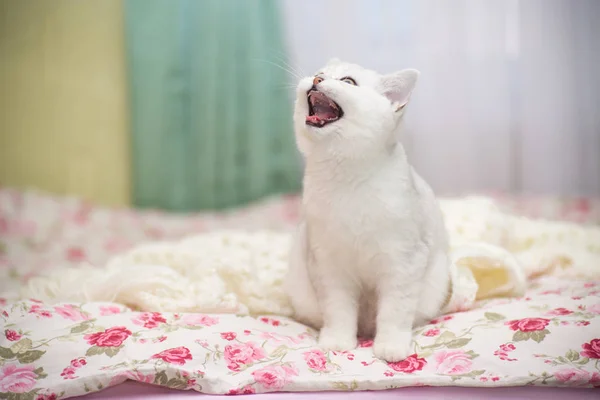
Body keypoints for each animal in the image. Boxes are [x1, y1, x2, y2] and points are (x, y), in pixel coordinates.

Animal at [286, 58, 450, 362]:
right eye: (320, 73)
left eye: (348, 82)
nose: (316, 79)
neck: (346, 176)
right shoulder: (328, 263)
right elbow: (338, 310)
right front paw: (338, 341)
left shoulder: (403, 261)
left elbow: (395, 311)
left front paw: (391, 346)